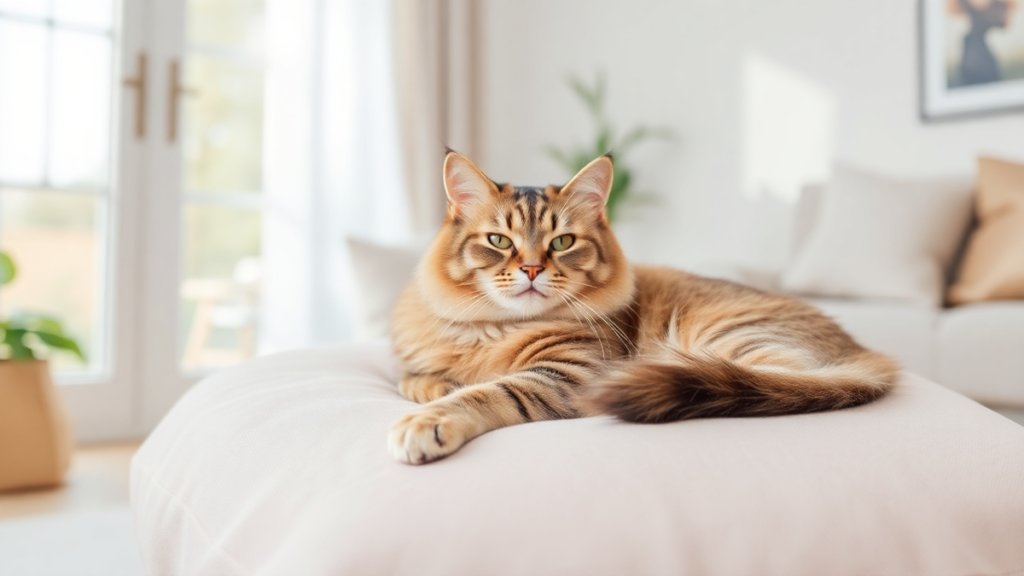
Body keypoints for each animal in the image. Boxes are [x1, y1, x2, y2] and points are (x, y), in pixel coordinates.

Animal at [387, 148, 901, 461]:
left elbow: (487, 392)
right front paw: (433, 386)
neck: (490, 329)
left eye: (563, 242)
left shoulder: (567, 374)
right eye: (498, 241)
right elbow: (417, 378)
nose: (532, 269)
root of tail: (865, 354)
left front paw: (429, 419)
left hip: (729, 338)